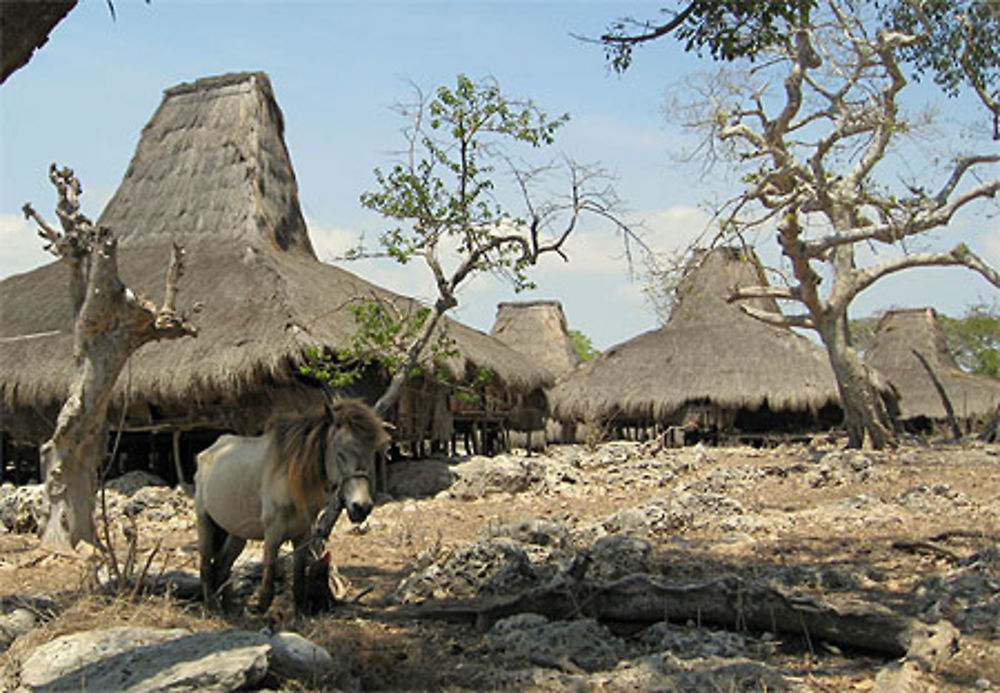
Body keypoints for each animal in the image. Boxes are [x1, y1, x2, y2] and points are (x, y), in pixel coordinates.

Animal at [193, 398, 388, 612]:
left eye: (372, 453)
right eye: (340, 453)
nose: (361, 507)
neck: (291, 479)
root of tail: (210, 450)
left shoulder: (302, 535)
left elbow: (298, 580)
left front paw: (299, 613)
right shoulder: (273, 534)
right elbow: (268, 579)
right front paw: (260, 611)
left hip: (236, 533)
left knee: (222, 567)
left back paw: (230, 609)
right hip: (205, 522)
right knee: (206, 566)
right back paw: (212, 607)